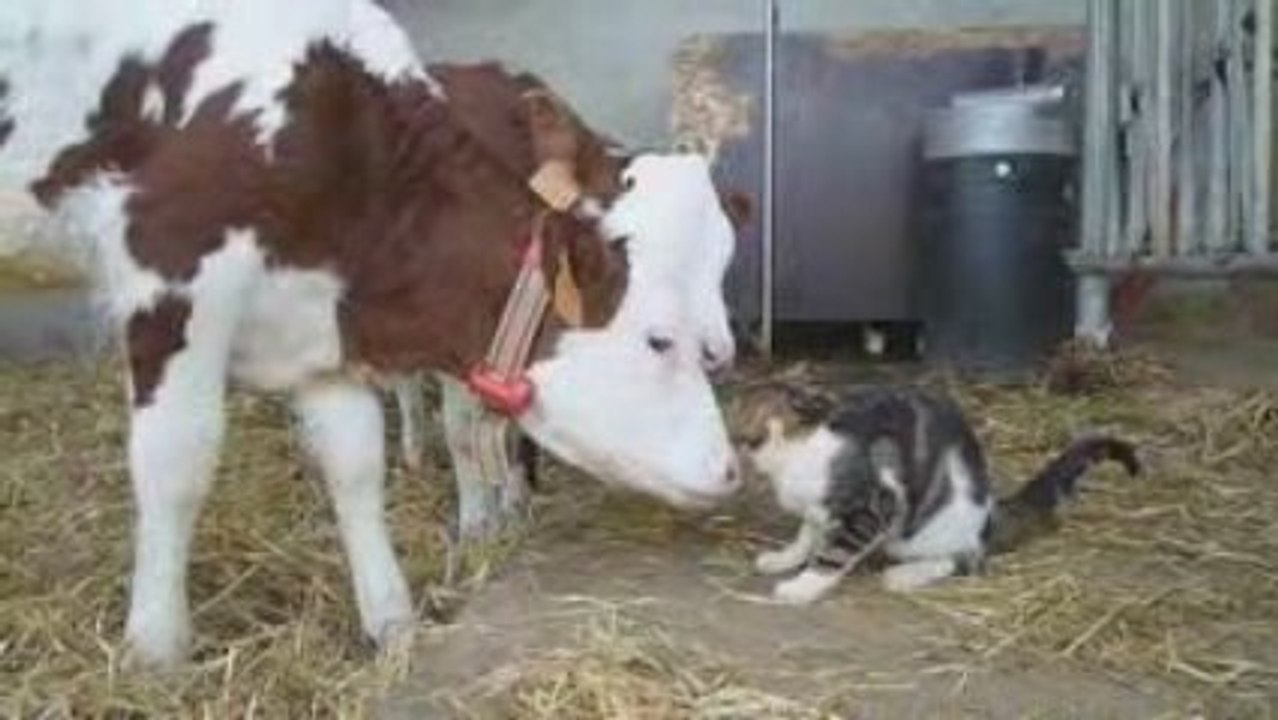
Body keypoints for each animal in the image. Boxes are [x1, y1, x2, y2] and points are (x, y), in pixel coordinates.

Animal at [1, 0, 748, 669]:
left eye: (722, 257)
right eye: (659, 340)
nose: (730, 470)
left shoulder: (321, 326)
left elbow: (356, 465)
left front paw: (391, 623)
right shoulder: (170, 277)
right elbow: (175, 465)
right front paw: (154, 649)